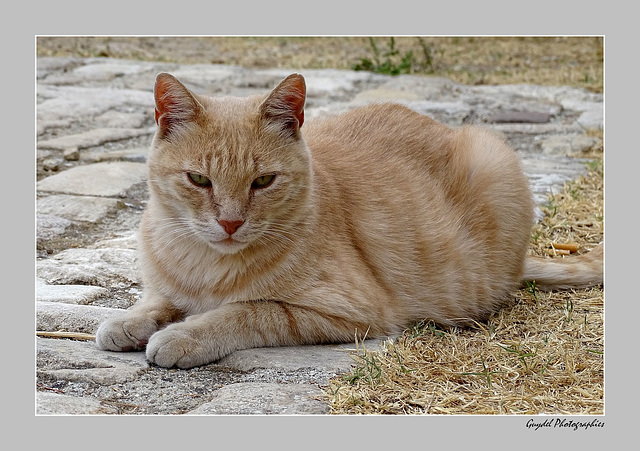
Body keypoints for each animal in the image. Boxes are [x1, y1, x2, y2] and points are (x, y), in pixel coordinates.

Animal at [95, 74, 604, 370]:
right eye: (199, 180)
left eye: (263, 181)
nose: (230, 223)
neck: (203, 264)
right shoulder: (167, 285)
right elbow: (155, 300)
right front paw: (128, 323)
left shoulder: (346, 312)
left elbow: (243, 311)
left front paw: (182, 336)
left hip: (493, 154)